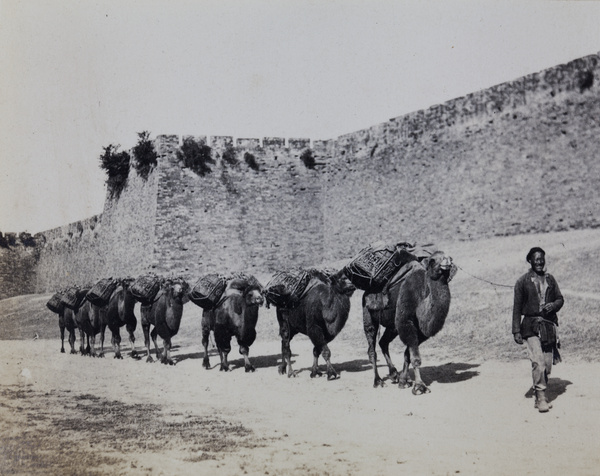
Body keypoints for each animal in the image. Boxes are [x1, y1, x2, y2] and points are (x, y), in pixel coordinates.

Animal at [360, 251, 454, 392]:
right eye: (432, 260)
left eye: (449, 258)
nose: (447, 260)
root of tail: (366, 292)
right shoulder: (406, 321)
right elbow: (415, 357)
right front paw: (419, 386)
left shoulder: (420, 331)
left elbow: (407, 354)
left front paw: (404, 381)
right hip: (368, 315)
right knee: (372, 347)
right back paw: (378, 381)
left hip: (393, 326)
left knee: (383, 342)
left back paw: (394, 374)